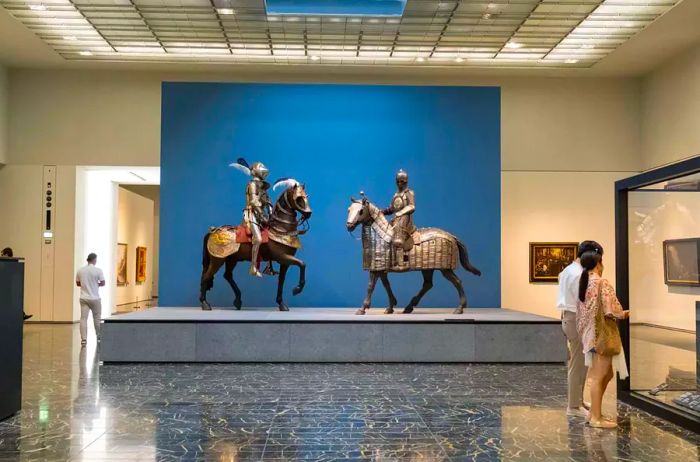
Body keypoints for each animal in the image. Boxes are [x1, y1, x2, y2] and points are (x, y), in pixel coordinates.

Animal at [201, 180, 314, 310]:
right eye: (299, 198)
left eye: (306, 196)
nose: (309, 213)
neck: (281, 229)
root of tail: (213, 230)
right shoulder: (282, 257)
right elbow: (302, 264)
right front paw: (297, 289)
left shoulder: (285, 262)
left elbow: (281, 280)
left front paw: (281, 303)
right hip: (218, 260)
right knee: (206, 277)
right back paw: (205, 303)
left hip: (231, 259)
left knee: (227, 276)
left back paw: (238, 301)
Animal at [346, 195, 478, 314]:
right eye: (349, 209)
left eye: (361, 211)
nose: (349, 226)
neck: (380, 237)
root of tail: (452, 236)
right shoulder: (381, 269)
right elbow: (386, 285)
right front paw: (390, 307)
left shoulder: (375, 269)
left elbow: (370, 286)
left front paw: (362, 309)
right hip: (428, 269)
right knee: (428, 285)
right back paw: (409, 307)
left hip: (445, 269)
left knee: (457, 282)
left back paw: (459, 308)